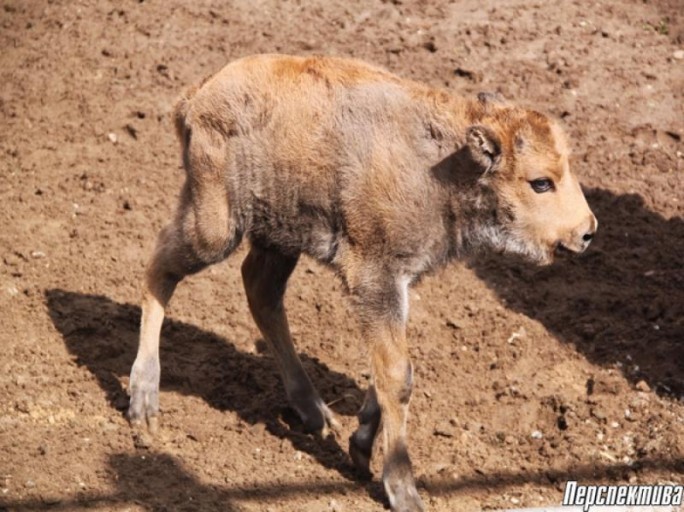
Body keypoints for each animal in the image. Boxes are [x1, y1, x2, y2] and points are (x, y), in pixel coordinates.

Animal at [130, 54, 600, 510]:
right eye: (540, 182)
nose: (587, 231)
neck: (445, 168)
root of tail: (196, 97)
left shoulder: (397, 288)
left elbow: (385, 370)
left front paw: (358, 447)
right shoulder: (375, 281)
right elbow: (398, 375)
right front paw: (403, 491)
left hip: (278, 239)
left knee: (260, 292)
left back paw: (315, 414)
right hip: (215, 228)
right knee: (160, 268)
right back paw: (144, 402)